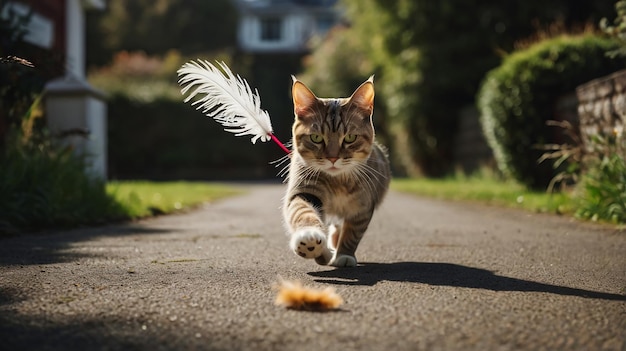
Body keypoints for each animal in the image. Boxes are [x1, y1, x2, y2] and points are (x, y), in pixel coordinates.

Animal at [282, 77, 388, 268]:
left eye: (350, 138)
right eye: (316, 138)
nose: (333, 158)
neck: (337, 181)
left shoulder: (363, 207)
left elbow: (352, 234)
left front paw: (344, 255)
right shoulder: (304, 191)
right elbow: (303, 212)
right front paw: (310, 240)